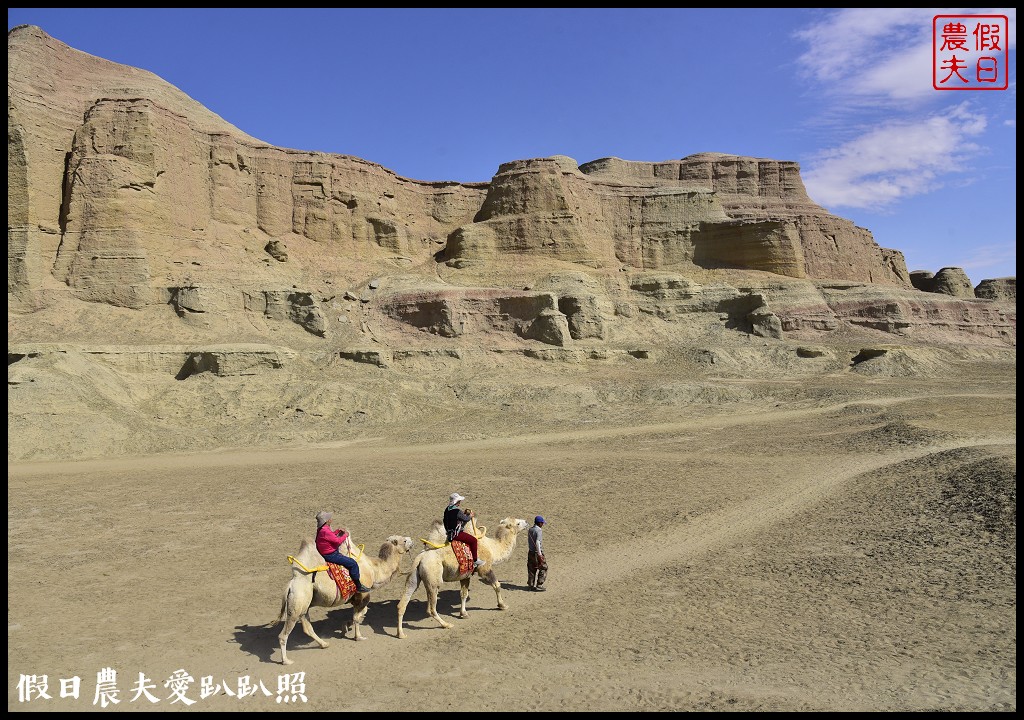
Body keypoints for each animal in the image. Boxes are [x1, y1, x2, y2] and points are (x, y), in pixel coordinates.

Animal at [278, 528, 413, 663]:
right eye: (404, 540)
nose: (412, 541)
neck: (374, 570)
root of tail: (291, 585)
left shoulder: (355, 597)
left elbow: (361, 613)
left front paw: (345, 627)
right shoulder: (363, 593)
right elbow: (358, 616)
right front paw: (358, 637)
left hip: (304, 606)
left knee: (307, 627)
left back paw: (324, 644)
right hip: (297, 602)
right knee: (283, 634)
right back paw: (286, 661)